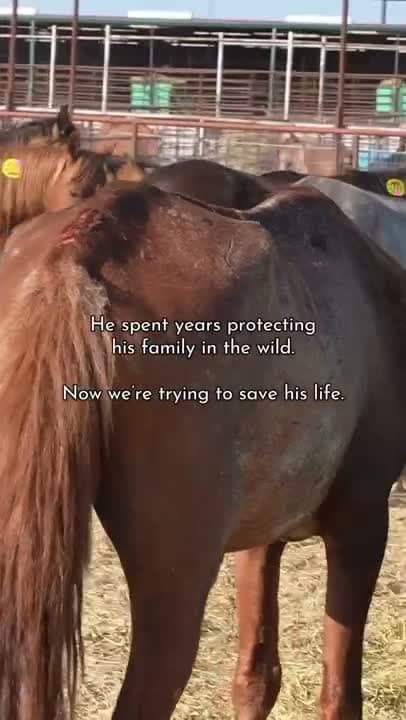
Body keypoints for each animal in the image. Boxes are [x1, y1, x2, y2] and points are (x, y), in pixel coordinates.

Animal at [0, 180, 404, 720]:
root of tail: (79, 248)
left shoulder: (262, 537)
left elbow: (256, 678)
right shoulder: (360, 522)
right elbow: (339, 697)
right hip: (176, 584)